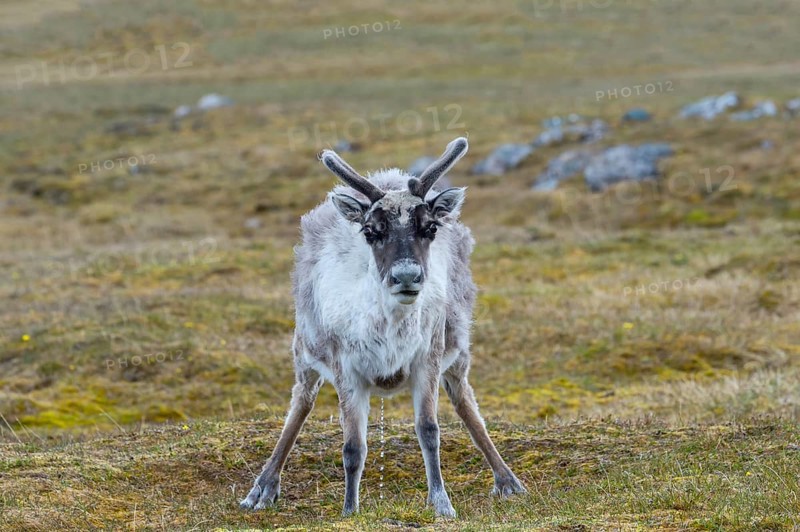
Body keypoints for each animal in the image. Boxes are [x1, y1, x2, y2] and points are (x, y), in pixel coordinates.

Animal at [239, 137, 526, 518]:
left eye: (430, 227)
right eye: (371, 231)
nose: (407, 277)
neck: (390, 332)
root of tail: (389, 176)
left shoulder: (427, 358)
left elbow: (429, 430)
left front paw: (441, 503)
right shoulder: (345, 367)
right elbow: (352, 447)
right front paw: (349, 510)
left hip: (458, 349)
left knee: (464, 399)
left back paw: (507, 480)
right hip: (303, 351)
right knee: (301, 402)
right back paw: (262, 488)